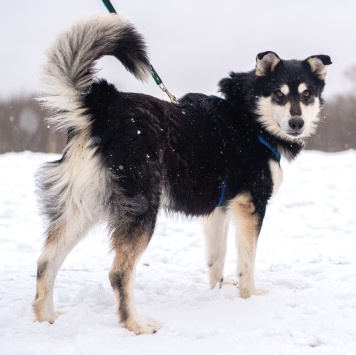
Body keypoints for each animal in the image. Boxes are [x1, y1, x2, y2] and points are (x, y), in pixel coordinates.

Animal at [33, 13, 330, 336]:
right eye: (278, 94)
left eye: (307, 95)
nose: (297, 123)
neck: (249, 118)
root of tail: (103, 108)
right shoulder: (251, 204)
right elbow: (247, 262)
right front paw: (249, 296)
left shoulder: (219, 210)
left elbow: (217, 260)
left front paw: (217, 292)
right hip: (141, 210)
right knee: (118, 273)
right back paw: (136, 325)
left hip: (81, 208)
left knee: (46, 262)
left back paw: (46, 319)